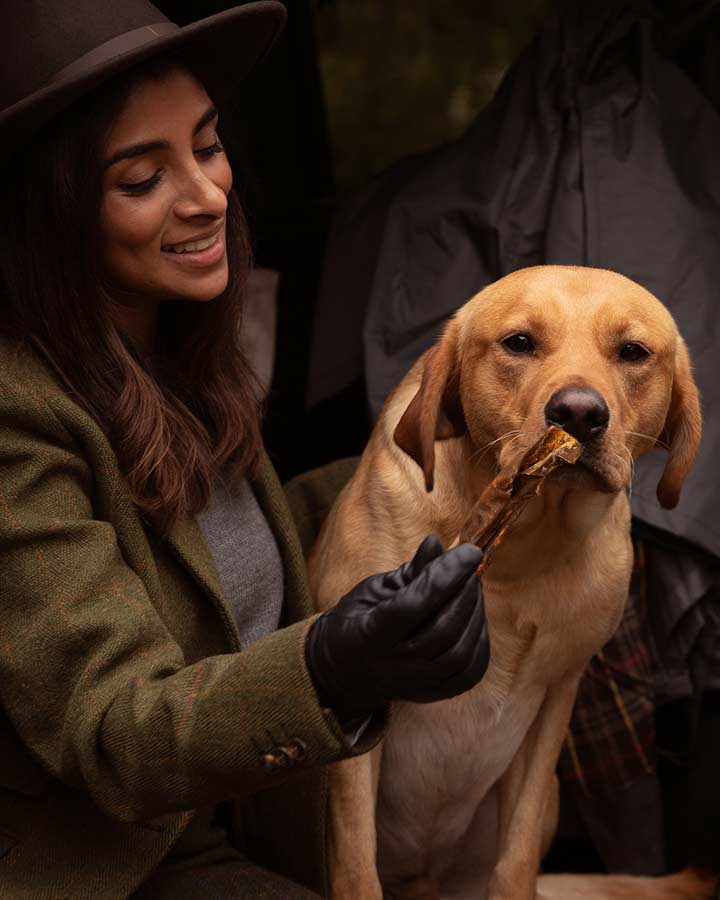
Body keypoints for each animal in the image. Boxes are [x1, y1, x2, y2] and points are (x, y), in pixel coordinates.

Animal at [306, 266, 704, 900]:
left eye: (633, 353)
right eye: (519, 343)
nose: (579, 413)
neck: (523, 544)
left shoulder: (553, 706)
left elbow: (514, 862)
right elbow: (355, 863)